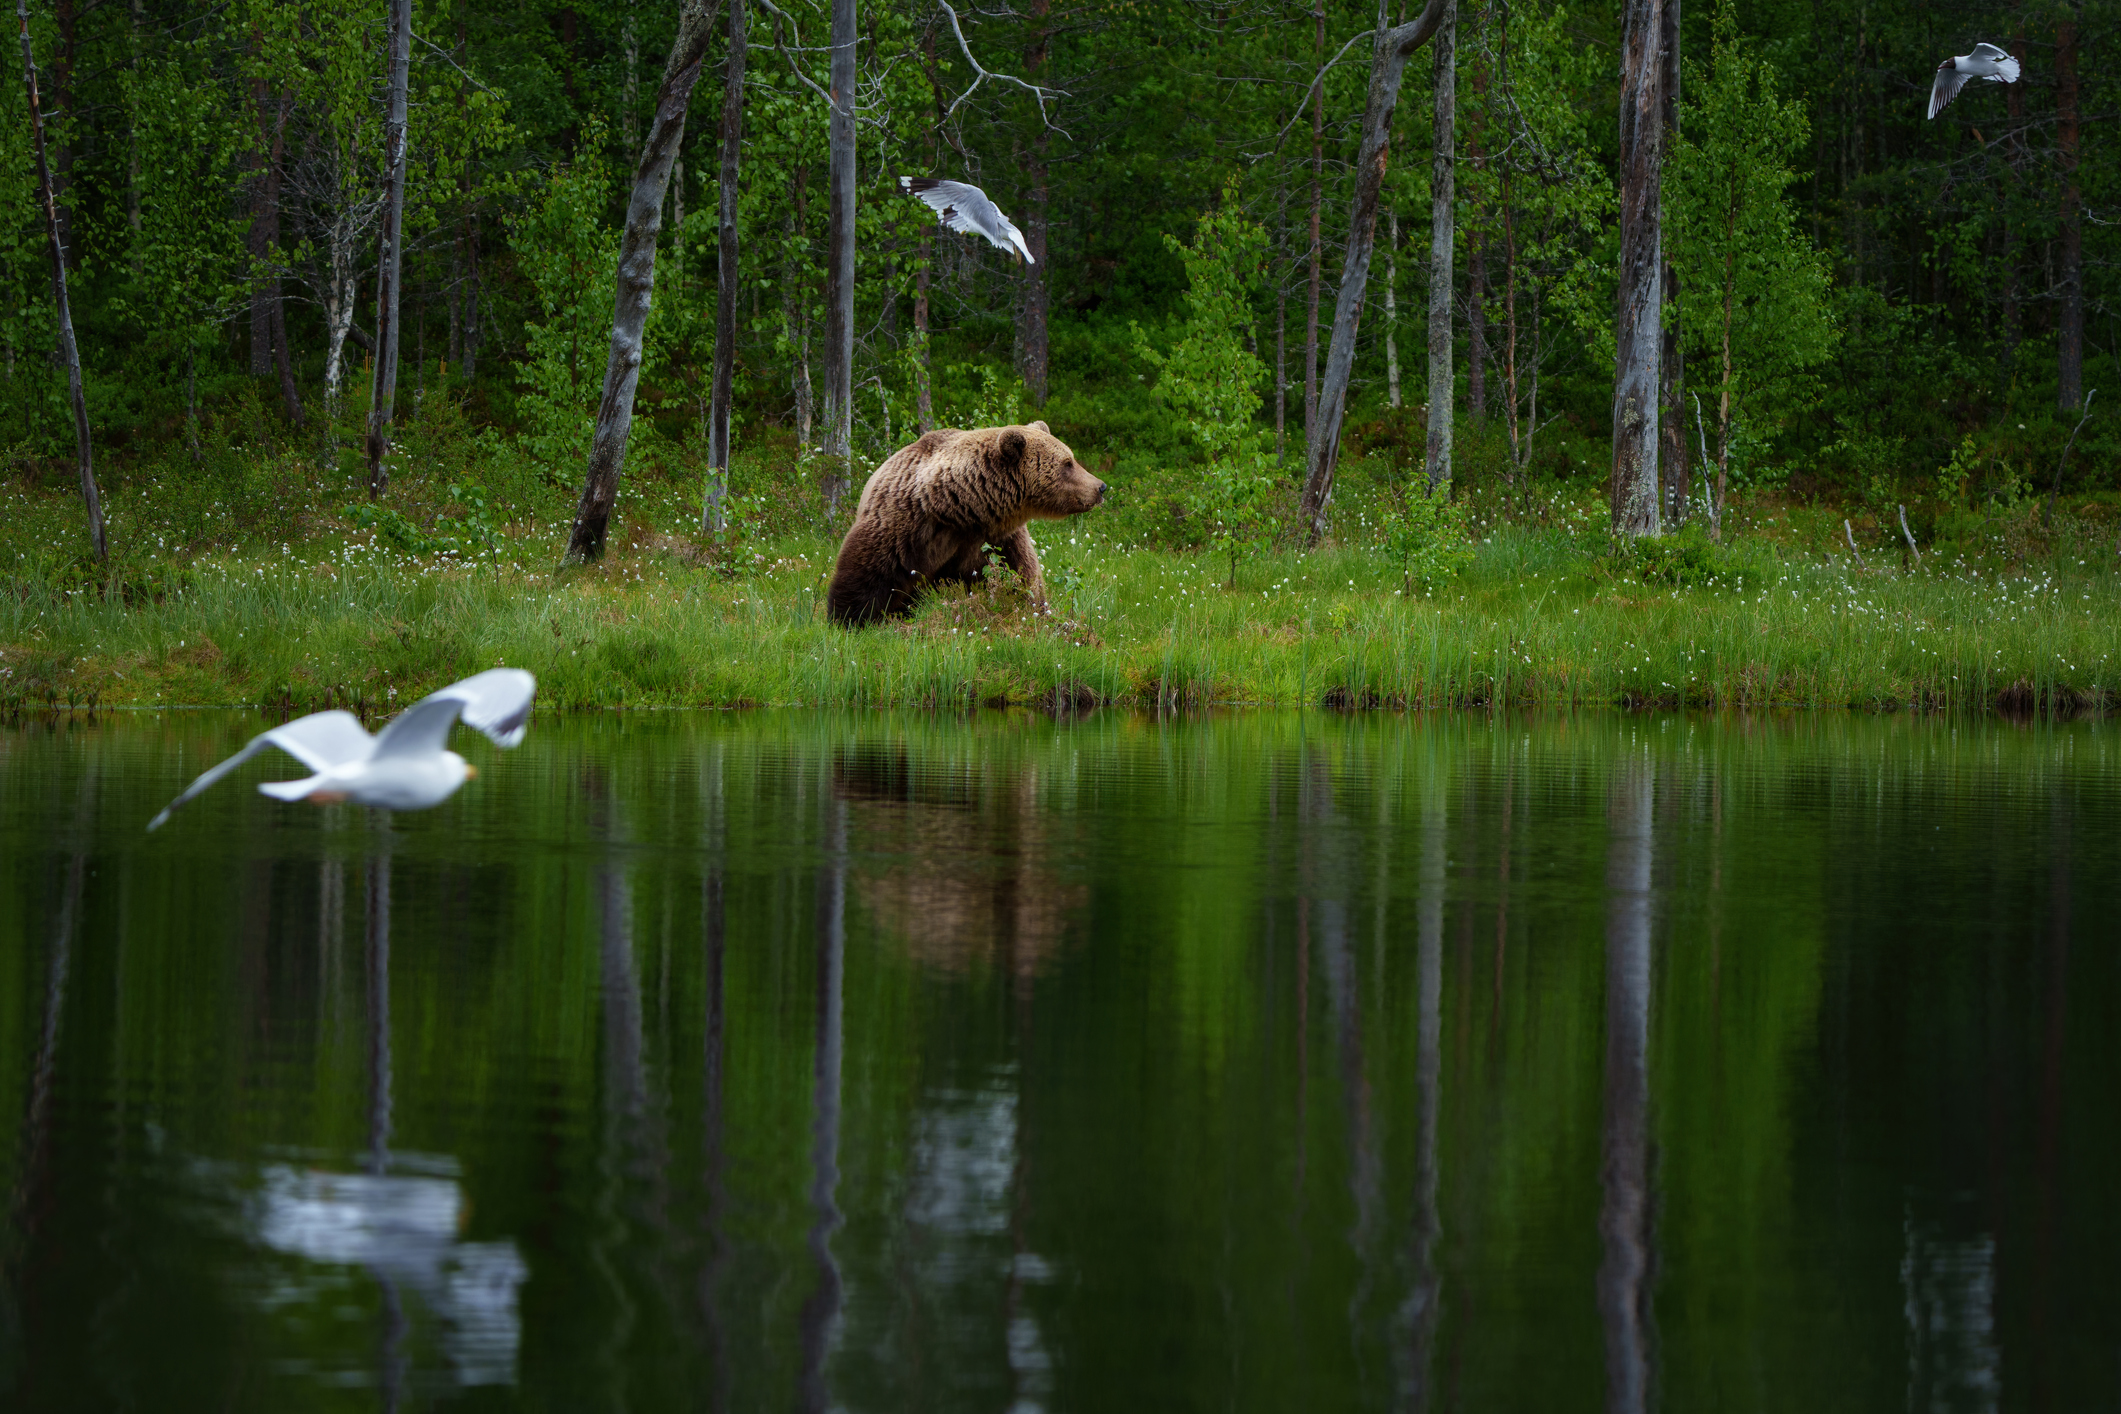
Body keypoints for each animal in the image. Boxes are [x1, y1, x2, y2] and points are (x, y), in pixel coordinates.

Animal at [826, 421, 1107, 626]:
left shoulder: (999, 537)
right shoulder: (903, 524)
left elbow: (1022, 579)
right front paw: (851, 619)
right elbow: (868, 574)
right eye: (1067, 463)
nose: (1101, 487)